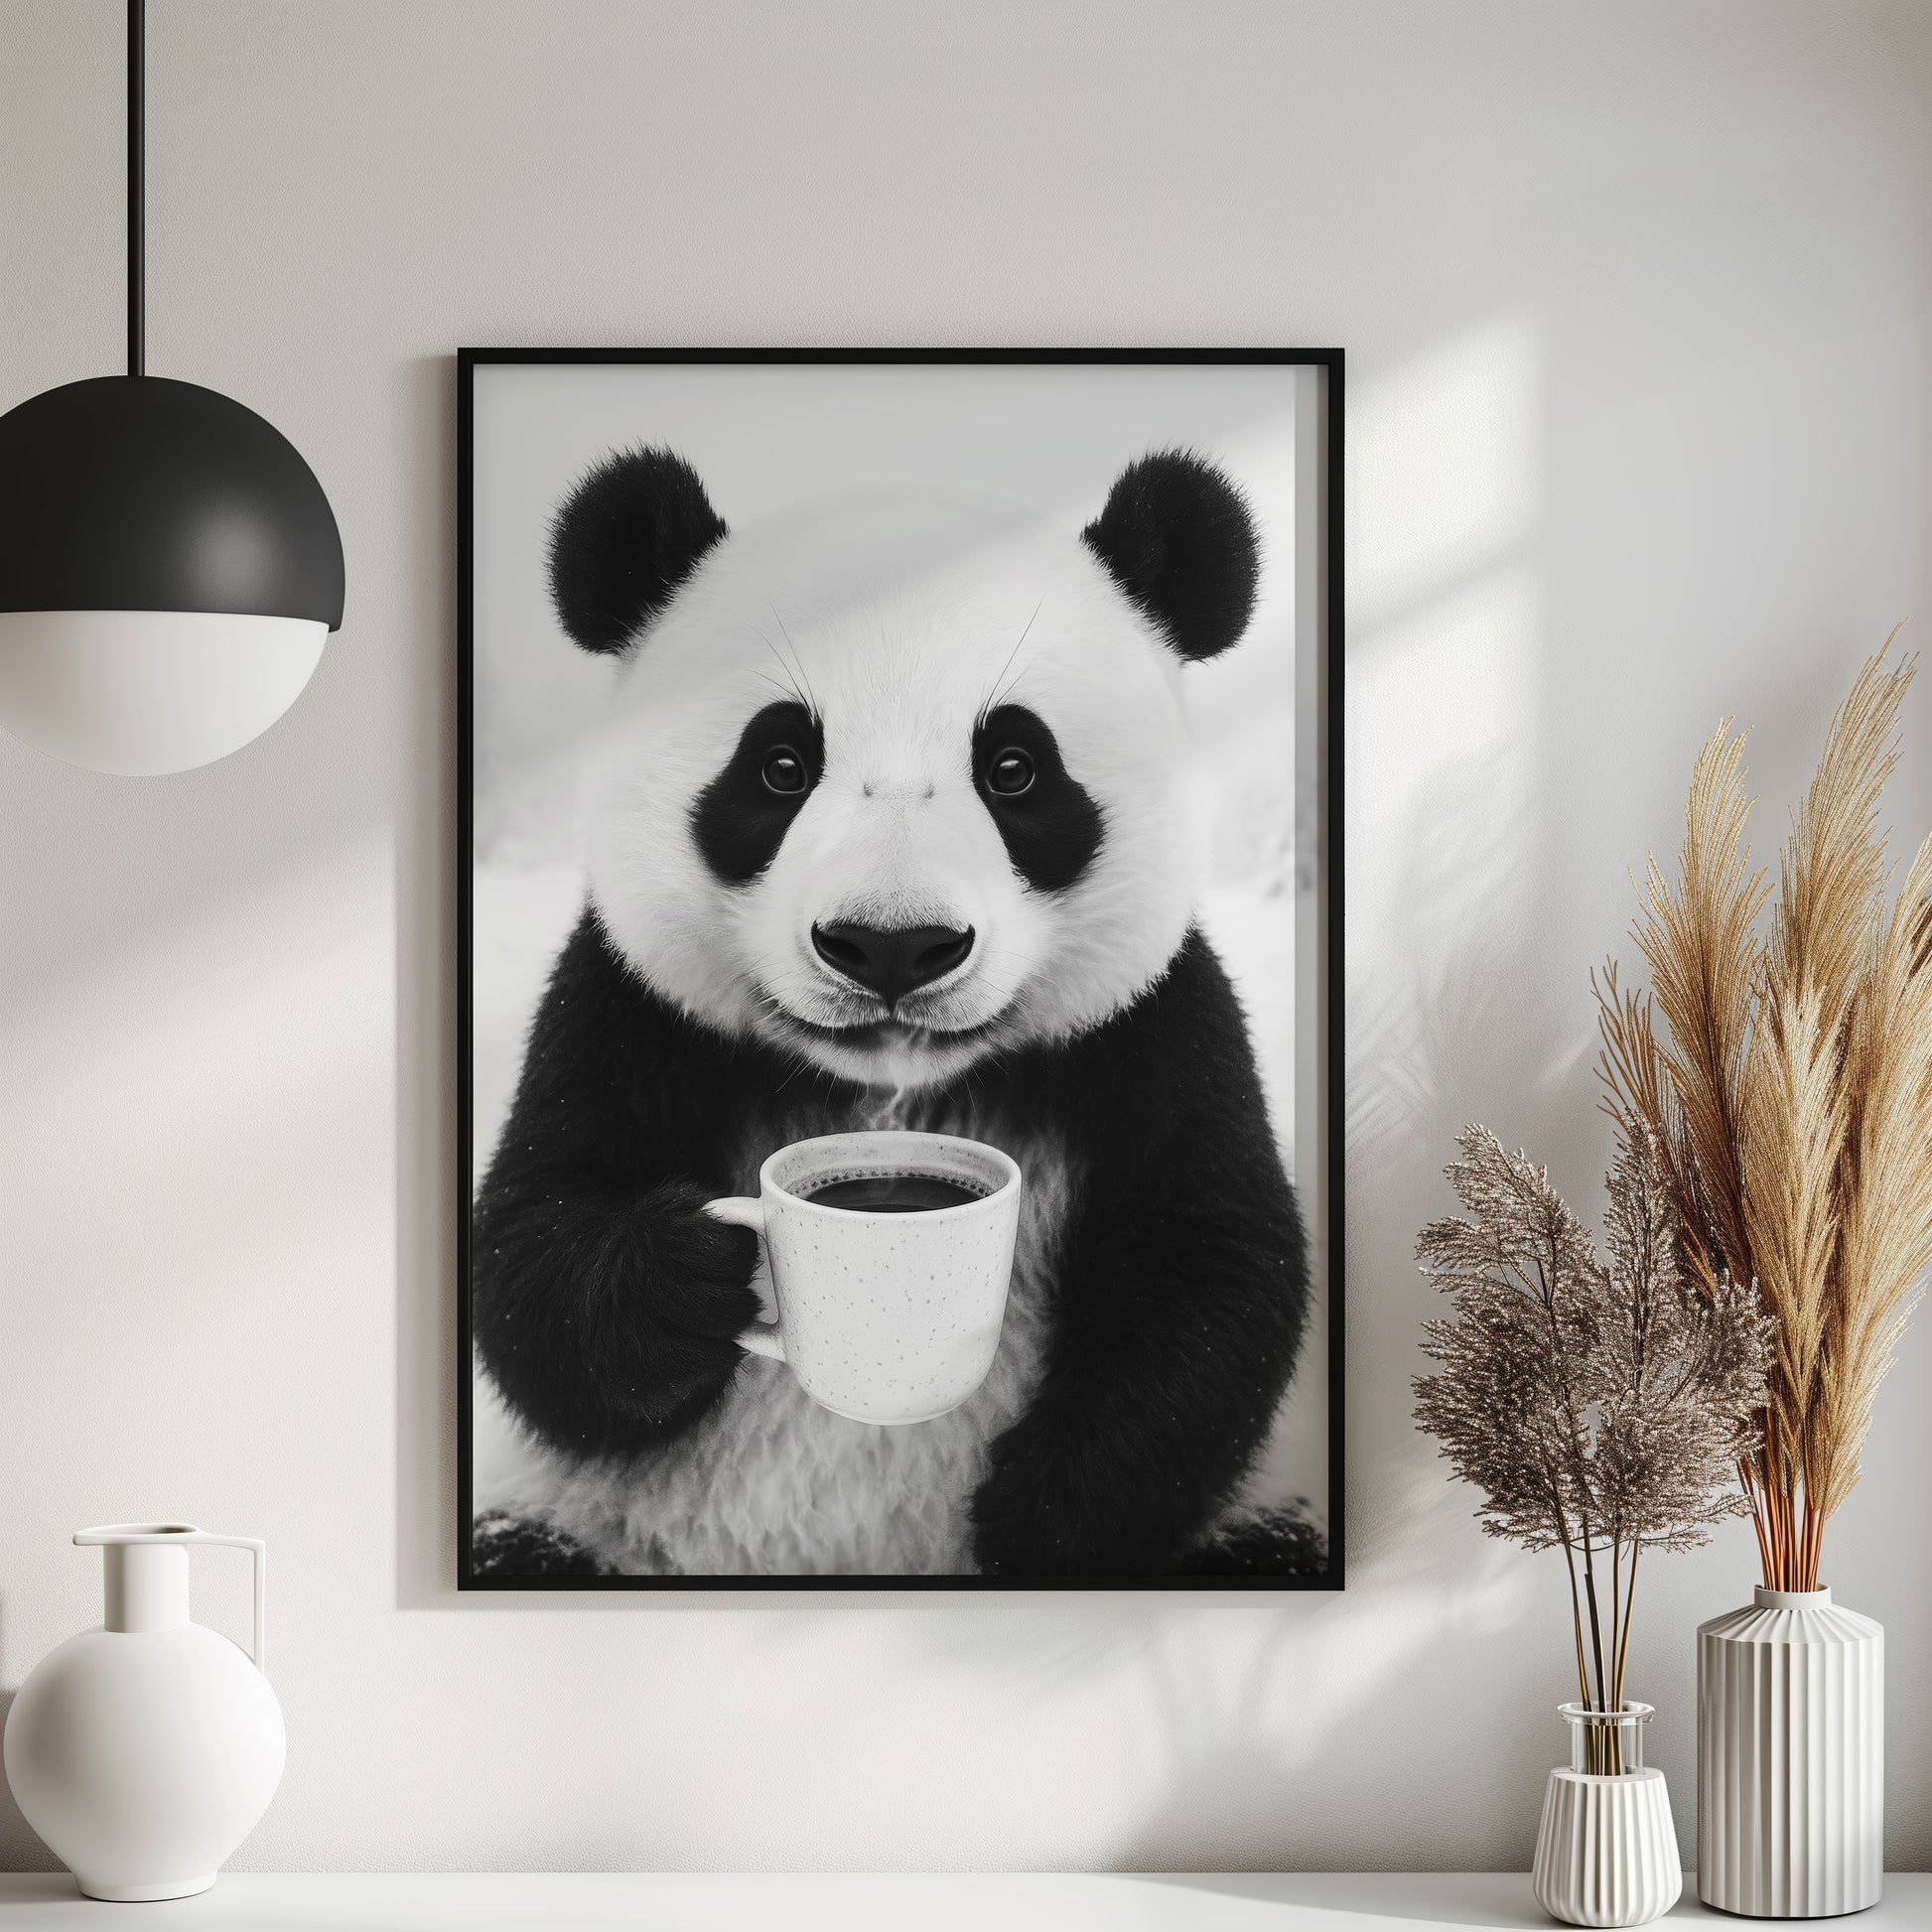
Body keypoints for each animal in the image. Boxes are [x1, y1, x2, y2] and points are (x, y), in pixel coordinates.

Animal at [470, 444, 1321, 1580]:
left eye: (1014, 768)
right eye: (780, 764)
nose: (890, 946)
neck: (890, 1088)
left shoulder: (1159, 1031)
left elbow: (1207, 1268)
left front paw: (1036, 1519)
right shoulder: (623, 1011)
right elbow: (533, 1249)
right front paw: (680, 1274)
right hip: (591, 1523)